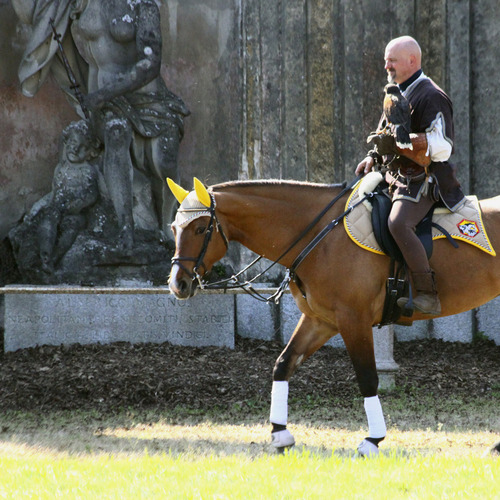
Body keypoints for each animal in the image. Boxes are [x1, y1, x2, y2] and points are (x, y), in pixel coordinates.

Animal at [167, 176, 500, 458]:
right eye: (173, 228)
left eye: (200, 229)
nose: (177, 284)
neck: (321, 235)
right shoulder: (320, 321)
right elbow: (284, 363)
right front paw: (280, 433)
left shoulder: (353, 320)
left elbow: (367, 377)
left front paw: (372, 440)